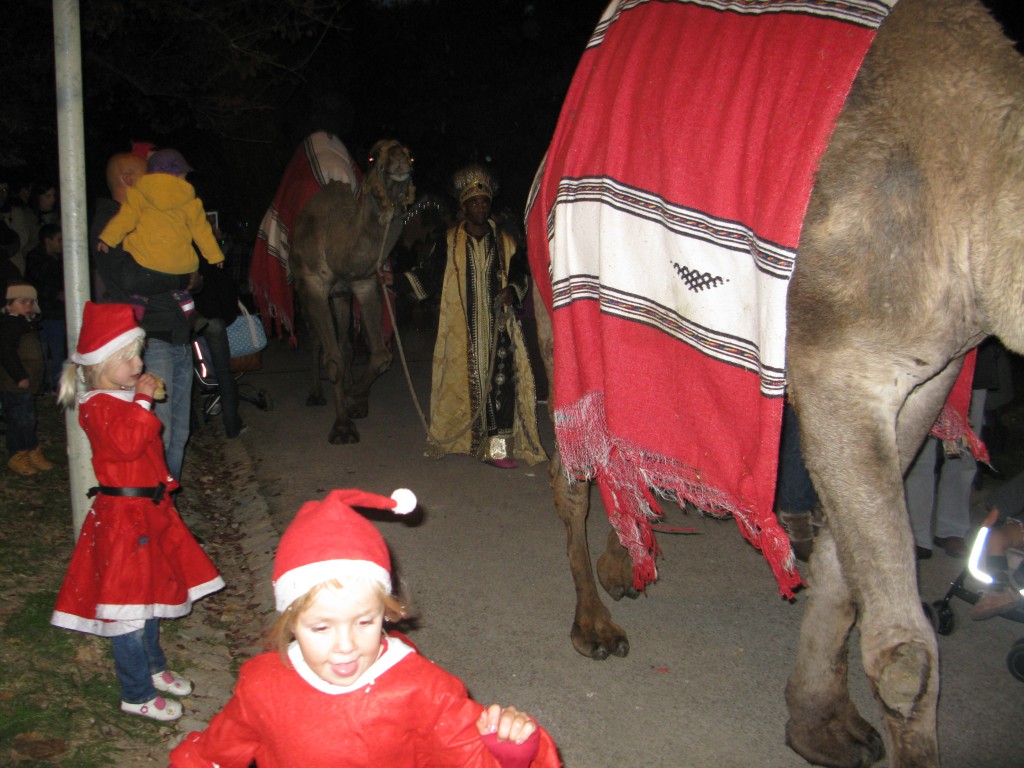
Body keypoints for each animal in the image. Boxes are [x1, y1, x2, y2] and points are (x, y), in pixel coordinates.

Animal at [288, 138, 415, 444]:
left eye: (411, 155)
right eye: (371, 156)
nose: (399, 159)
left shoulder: (364, 283)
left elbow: (380, 355)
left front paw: (354, 396)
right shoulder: (314, 286)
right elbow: (331, 358)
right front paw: (343, 427)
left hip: (341, 295)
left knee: (346, 344)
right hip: (302, 292)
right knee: (316, 342)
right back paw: (316, 394)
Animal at [528, 0, 1024, 765]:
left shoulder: (930, 376)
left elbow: (843, 572)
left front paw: (822, 722)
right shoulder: (840, 367)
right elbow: (906, 655)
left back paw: (623, 564)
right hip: (559, 303)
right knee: (571, 469)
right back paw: (594, 623)